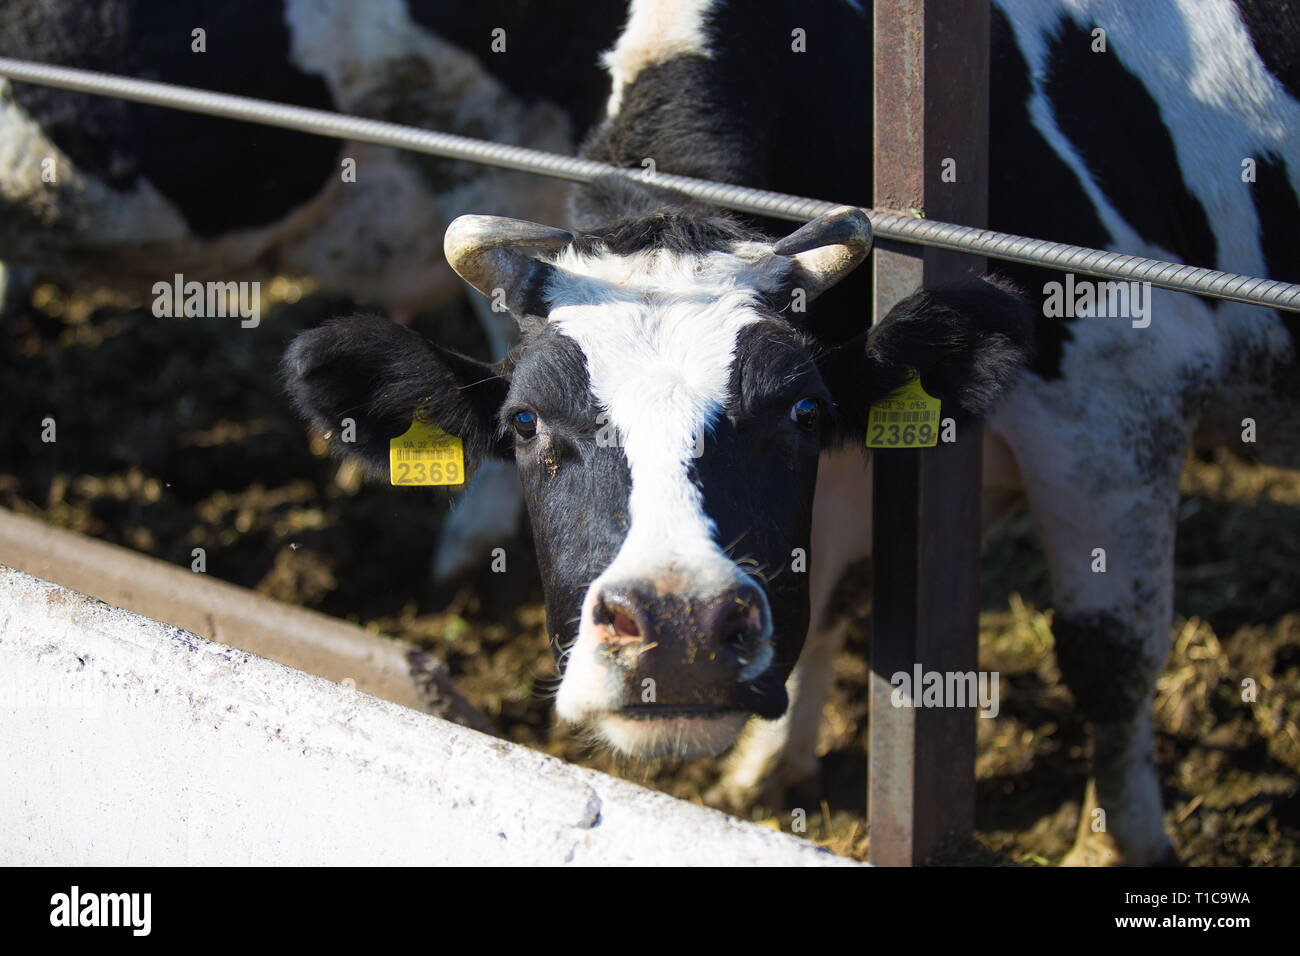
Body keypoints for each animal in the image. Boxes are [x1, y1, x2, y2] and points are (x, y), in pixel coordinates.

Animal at [287, 0, 1300, 868]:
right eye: (526, 423)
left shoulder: (1125, 384)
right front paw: (769, 766)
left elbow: (1108, 652)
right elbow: (832, 584)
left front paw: (1119, 844)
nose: (678, 632)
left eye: (800, 413)